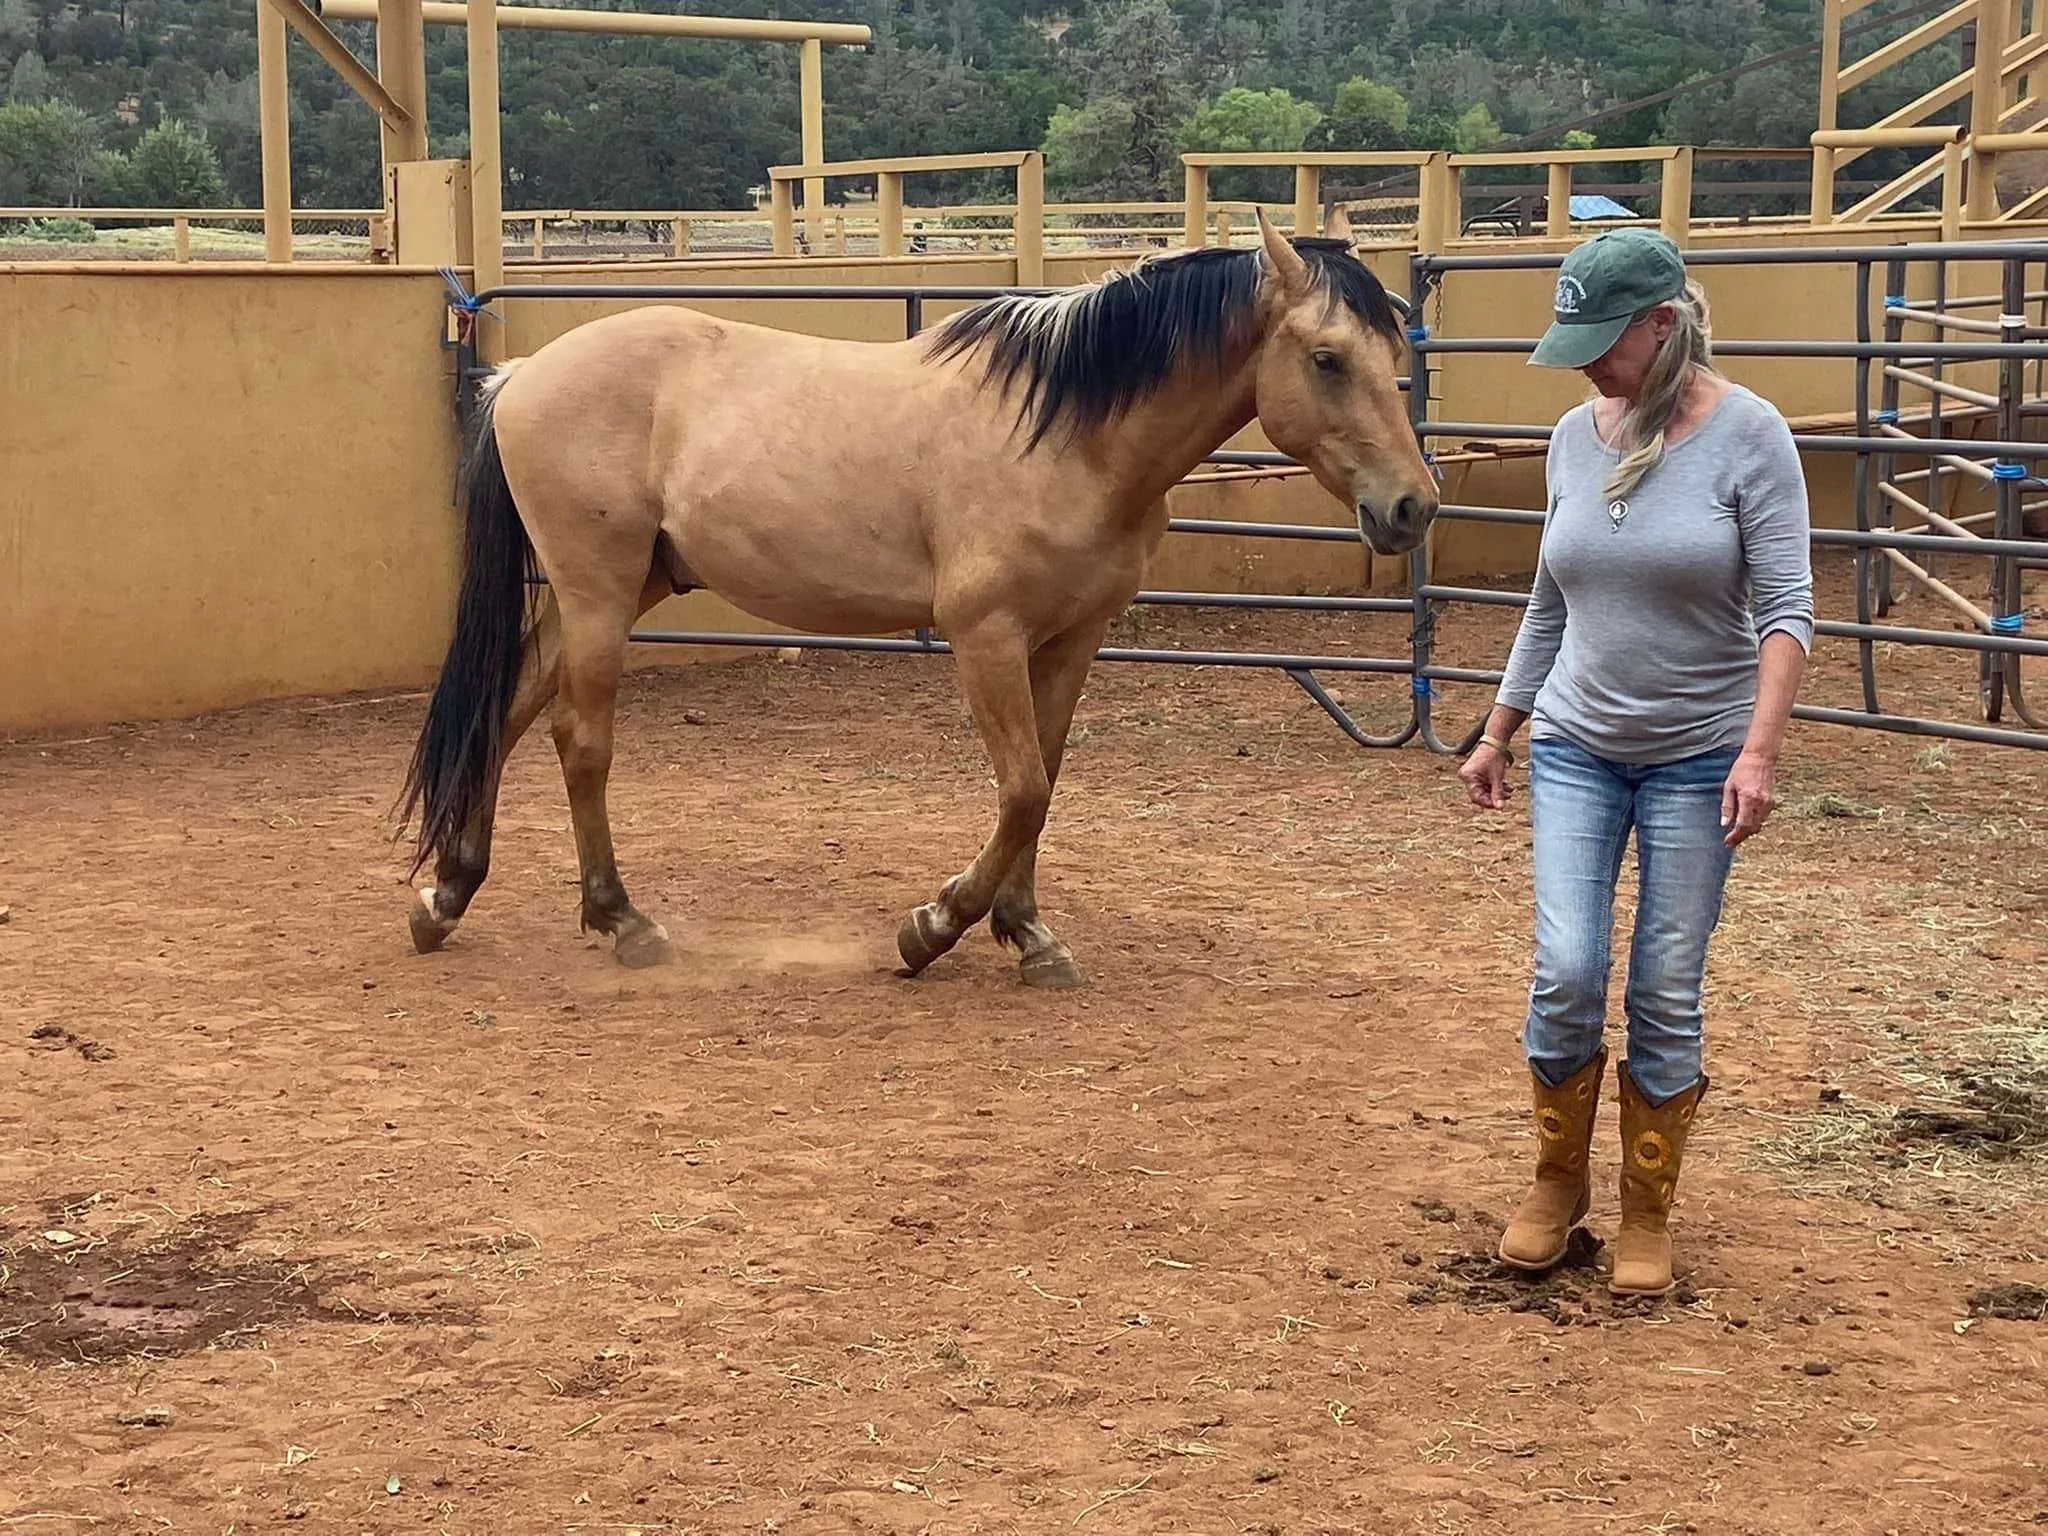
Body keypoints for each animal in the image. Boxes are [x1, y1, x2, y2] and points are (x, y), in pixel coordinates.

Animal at [396, 207, 1438, 986]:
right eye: (1328, 358)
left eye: (1393, 347)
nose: (1411, 507)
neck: (1070, 438)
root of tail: (521, 375)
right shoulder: (986, 636)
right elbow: (1021, 789)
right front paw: (934, 927)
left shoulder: (1073, 639)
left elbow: (1045, 785)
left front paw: (1027, 934)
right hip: (600, 591)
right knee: (580, 740)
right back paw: (621, 920)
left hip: (620, 587)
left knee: (507, 710)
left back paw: (447, 895)